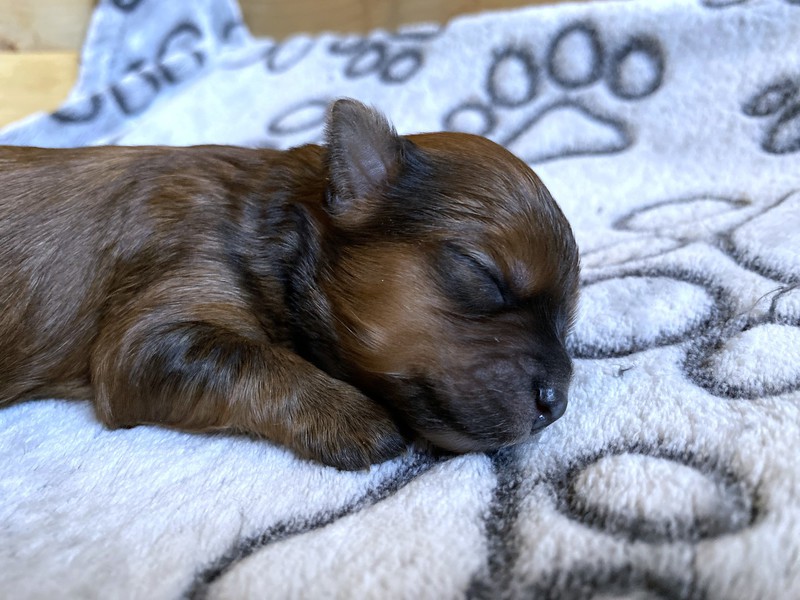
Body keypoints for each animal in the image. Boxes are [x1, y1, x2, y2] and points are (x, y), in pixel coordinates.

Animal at [0, 99, 580, 470]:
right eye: (484, 276)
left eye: (569, 322)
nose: (556, 406)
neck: (272, 224)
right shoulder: (155, 324)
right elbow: (253, 358)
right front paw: (353, 418)